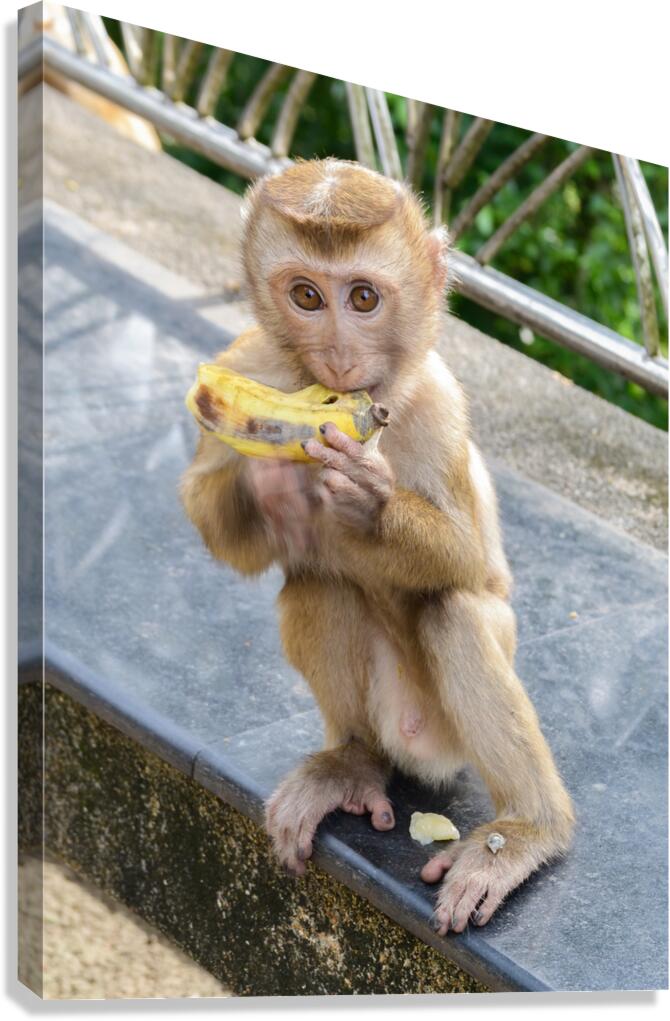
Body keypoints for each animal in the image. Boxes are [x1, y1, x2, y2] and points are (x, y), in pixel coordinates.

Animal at [180, 157, 575, 934]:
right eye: (306, 295)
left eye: (363, 297)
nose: (337, 355)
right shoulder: (249, 363)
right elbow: (220, 520)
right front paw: (268, 487)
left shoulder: (439, 403)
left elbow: (467, 560)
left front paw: (369, 501)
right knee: (315, 584)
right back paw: (352, 766)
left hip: (444, 736)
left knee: (454, 612)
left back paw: (527, 831)